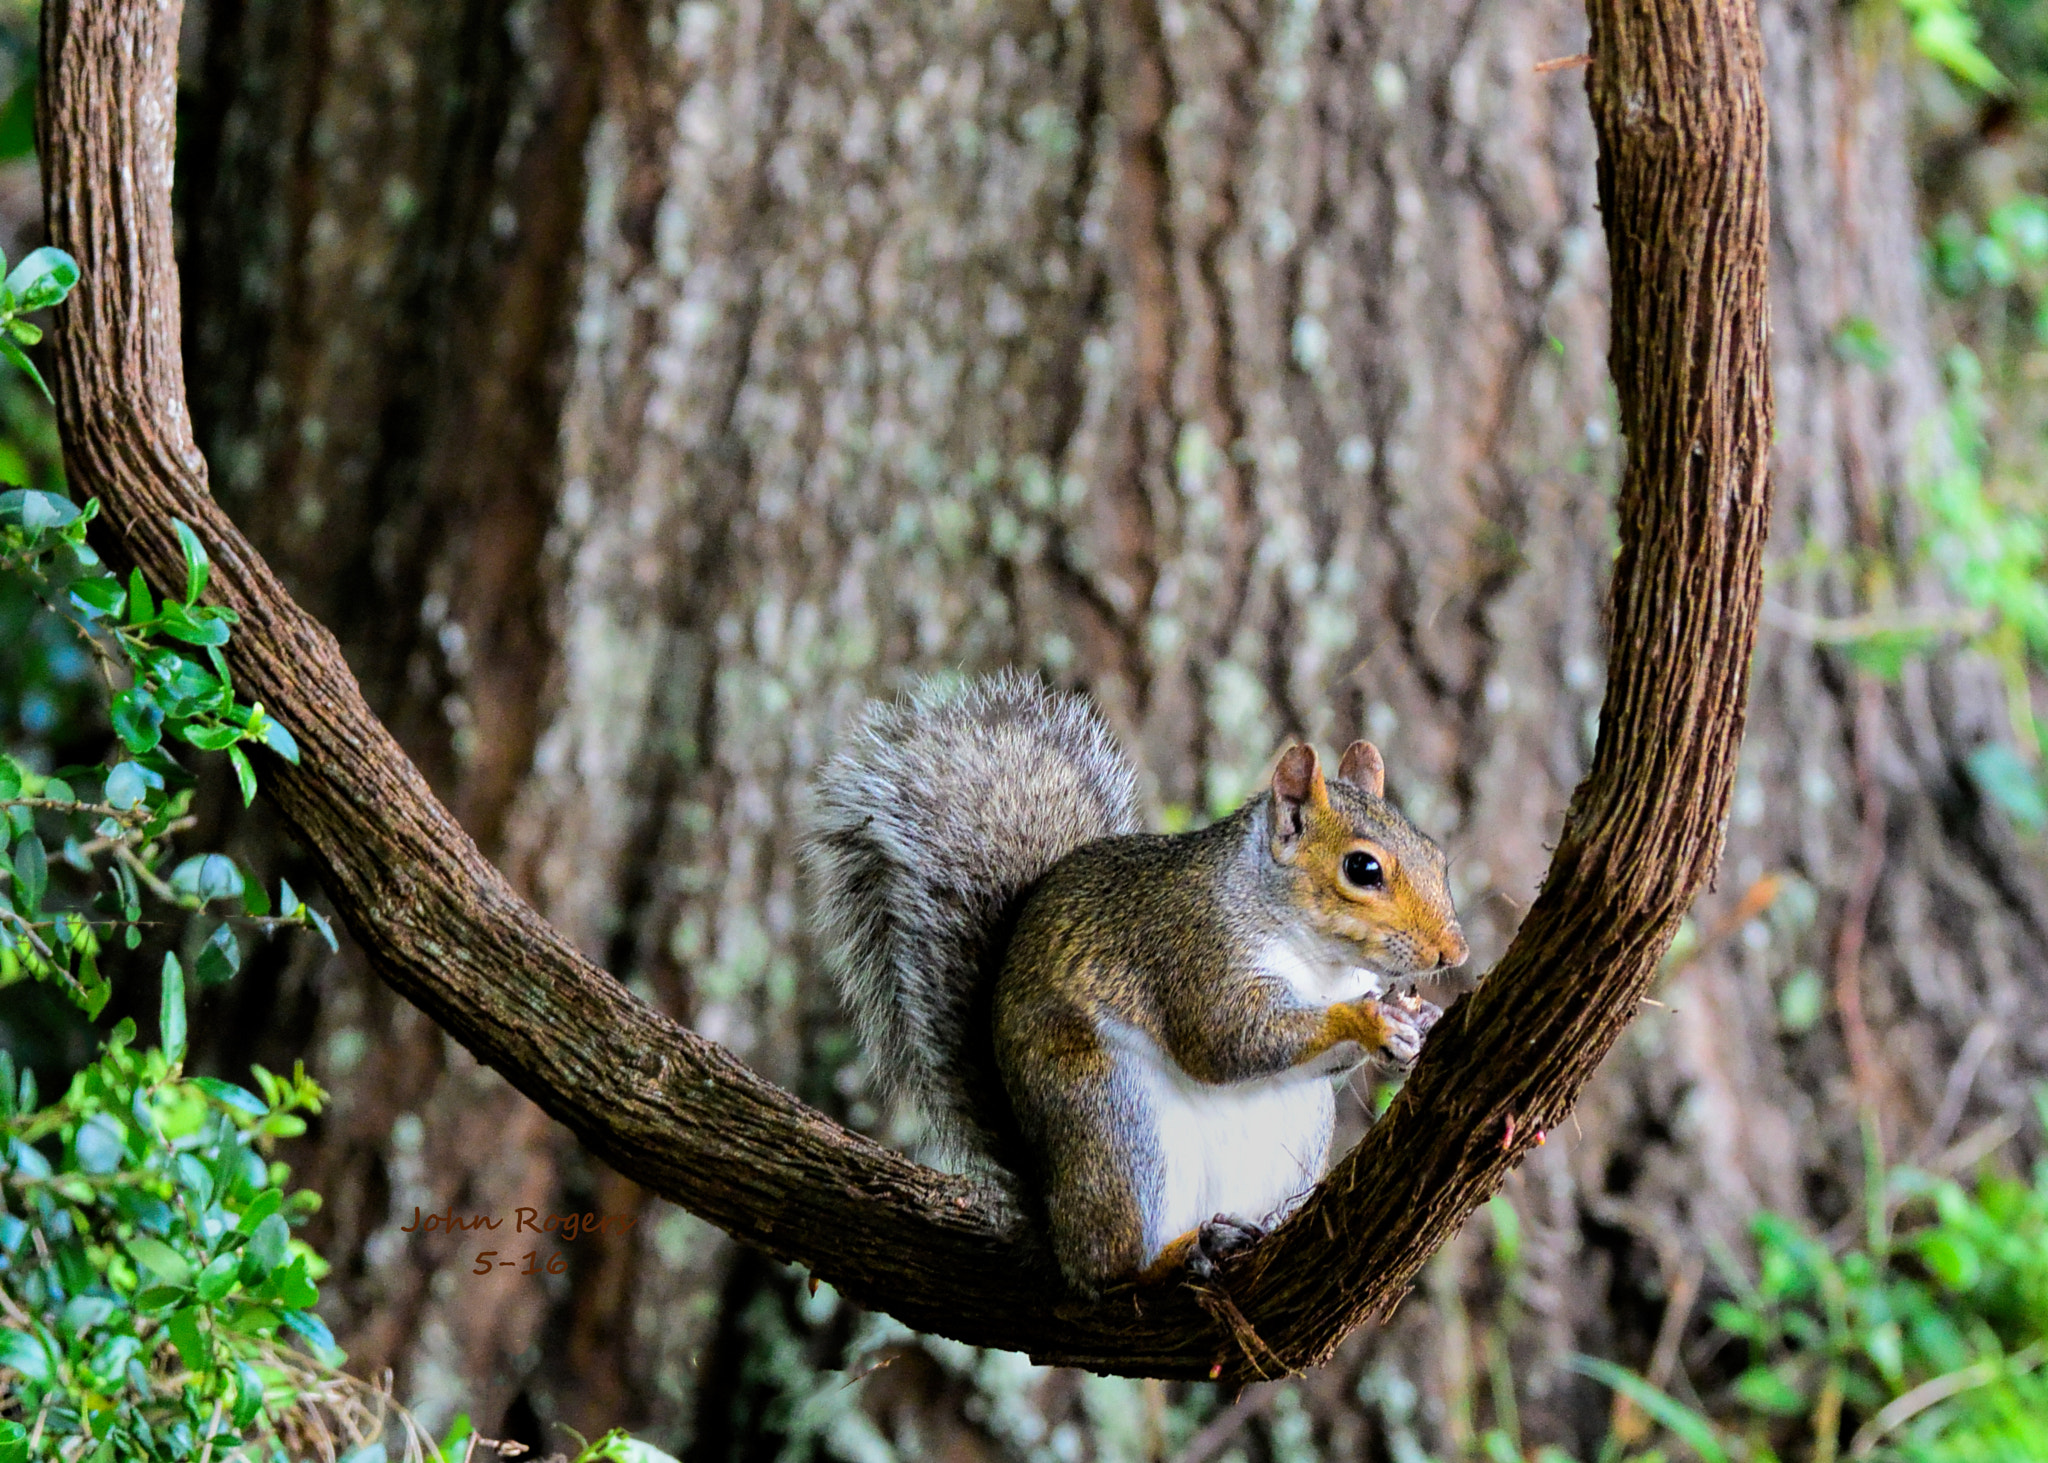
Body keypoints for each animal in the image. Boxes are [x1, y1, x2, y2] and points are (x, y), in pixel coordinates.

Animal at [802, 670, 1468, 1293]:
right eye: (1363, 869)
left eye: (1438, 857)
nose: (1454, 951)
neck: (1319, 958)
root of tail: (1054, 1230)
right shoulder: (1193, 950)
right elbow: (1227, 1040)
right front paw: (1369, 1017)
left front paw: (1418, 1021)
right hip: (1114, 1123)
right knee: (1111, 1267)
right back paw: (1180, 1252)